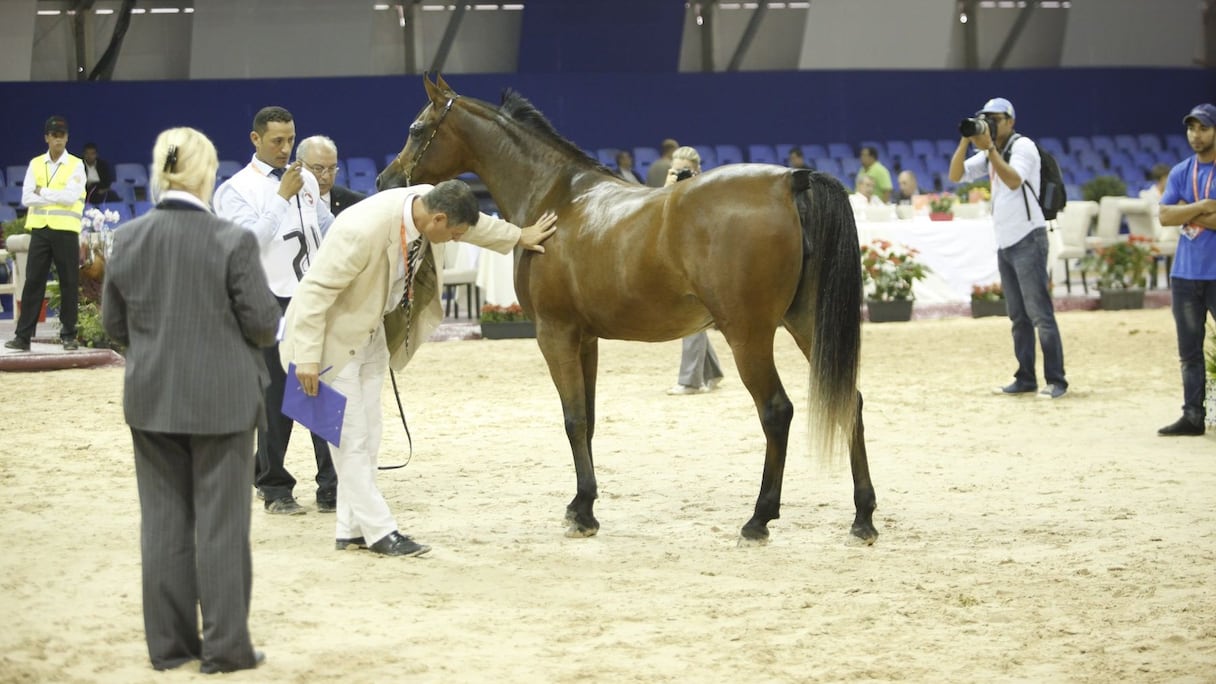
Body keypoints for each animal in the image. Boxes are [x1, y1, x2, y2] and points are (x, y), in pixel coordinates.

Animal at [376, 74, 875, 542]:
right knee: (850, 400)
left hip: (747, 334)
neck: (556, 197)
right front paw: (582, 504)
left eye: (417, 129)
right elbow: (589, 419)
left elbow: (573, 419)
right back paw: (862, 516)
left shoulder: (554, 334)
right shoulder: (586, 338)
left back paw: (759, 519)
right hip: (807, 324)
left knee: (776, 411)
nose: (385, 181)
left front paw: (582, 514)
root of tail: (791, 180)